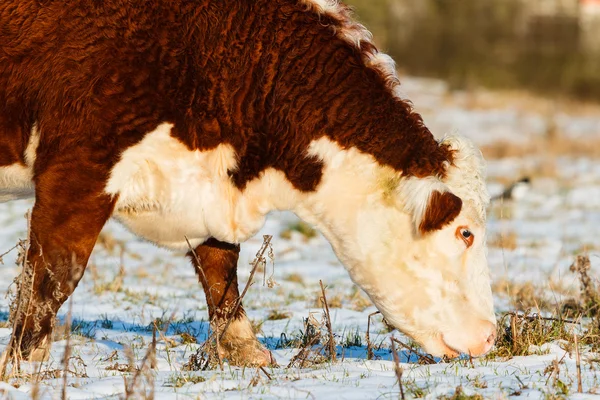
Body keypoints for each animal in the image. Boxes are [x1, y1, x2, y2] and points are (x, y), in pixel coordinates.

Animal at [0, 0, 494, 366]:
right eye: (465, 233)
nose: (489, 337)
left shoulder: (210, 190)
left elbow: (221, 267)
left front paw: (245, 348)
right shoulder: (78, 168)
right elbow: (54, 276)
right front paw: (26, 361)